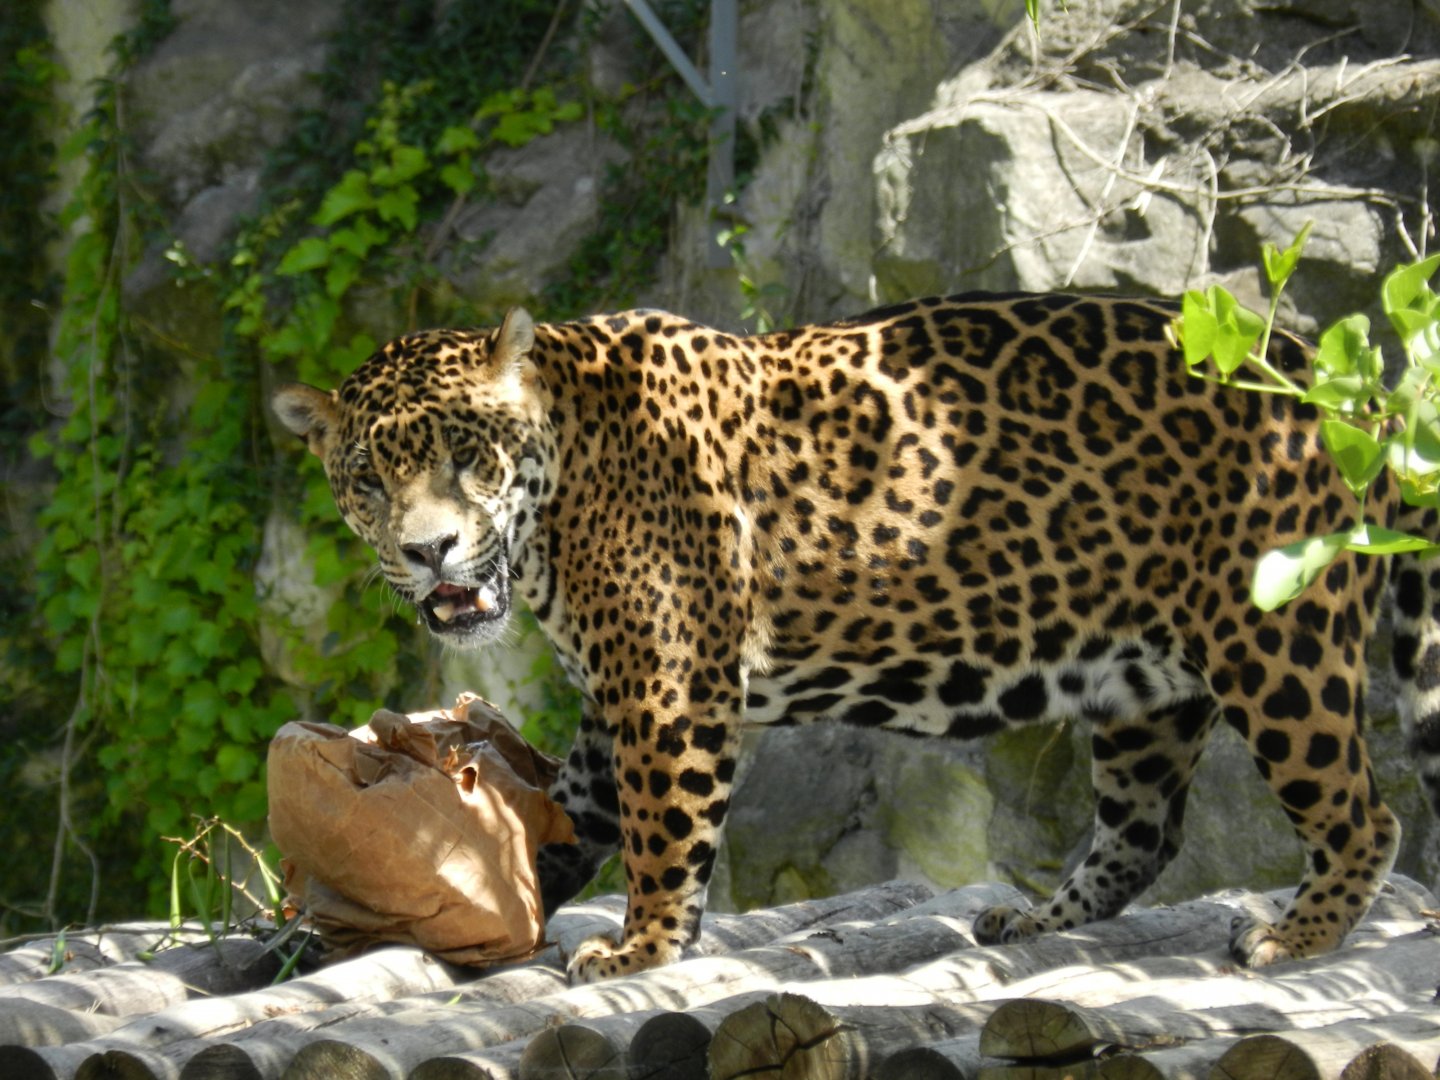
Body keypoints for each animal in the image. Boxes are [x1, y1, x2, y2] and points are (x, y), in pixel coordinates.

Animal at [272, 292, 1440, 984]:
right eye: (367, 479)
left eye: (468, 455)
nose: (429, 549)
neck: (561, 492)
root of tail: (1333, 385)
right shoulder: (623, 695)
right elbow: (575, 807)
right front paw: (509, 883)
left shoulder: (666, 685)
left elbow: (660, 826)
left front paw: (644, 946)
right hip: (1144, 682)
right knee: (1145, 829)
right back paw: (1040, 921)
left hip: (1276, 640)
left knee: (1367, 813)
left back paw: (1297, 932)